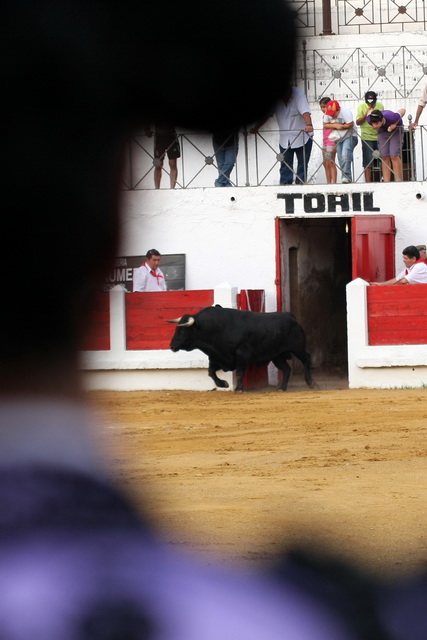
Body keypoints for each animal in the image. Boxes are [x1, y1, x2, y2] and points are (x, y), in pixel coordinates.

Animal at [168, 304, 314, 390]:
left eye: (182, 331)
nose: (172, 346)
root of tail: (290, 316)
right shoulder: (217, 357)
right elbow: (211, 372)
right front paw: (223, 384)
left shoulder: (242, 354)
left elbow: (239, 373)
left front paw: (238, 388)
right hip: (276, 355)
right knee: (287, 369)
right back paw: (282, 388)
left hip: (297, 348)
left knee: (306, 358)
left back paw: (310, 382)